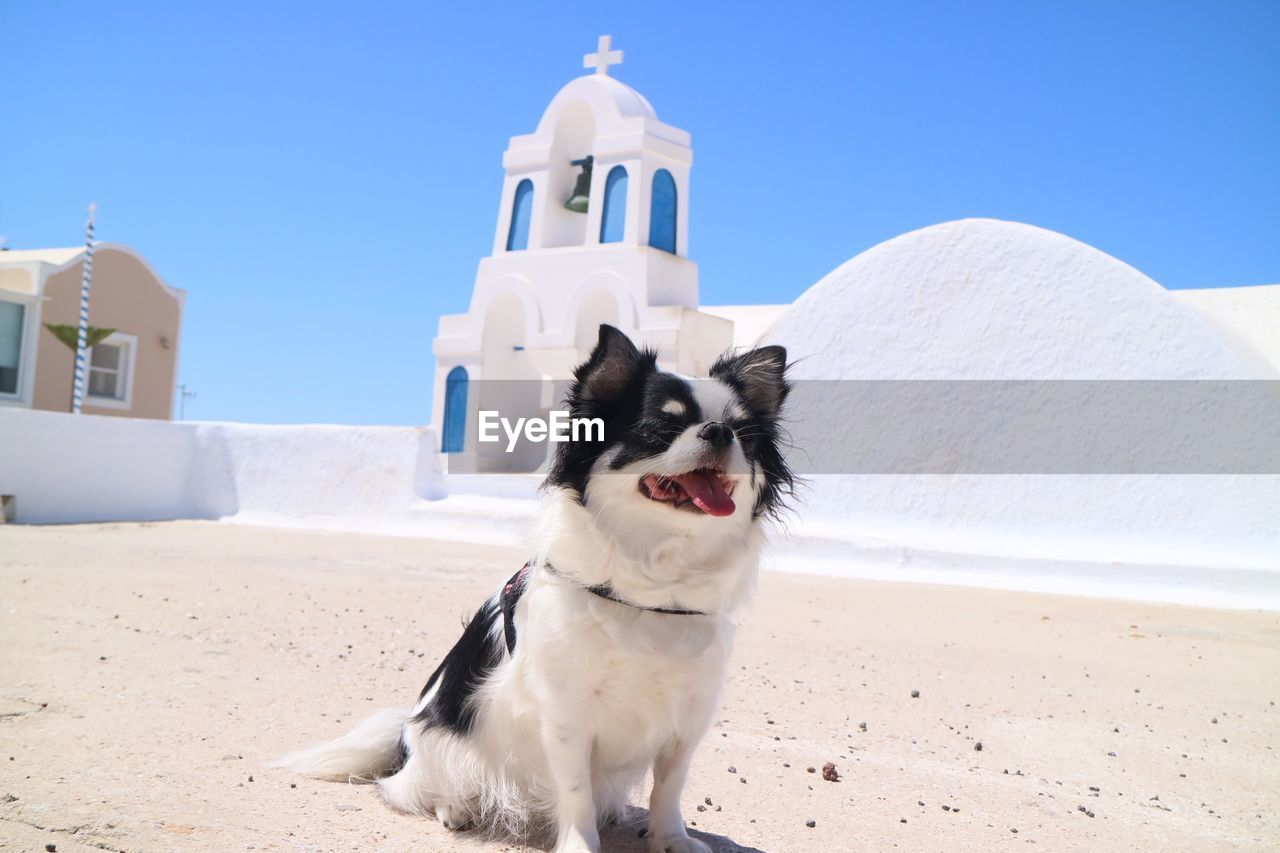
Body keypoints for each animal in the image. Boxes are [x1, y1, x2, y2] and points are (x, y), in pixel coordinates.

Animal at [280, 325, 788, 850]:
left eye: (744, 435)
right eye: (660, 429)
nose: (719, 431)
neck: (653, 585)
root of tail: (406, 731)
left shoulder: (687, 717)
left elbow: (670, 784)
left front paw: (671, 840)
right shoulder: (566, 713)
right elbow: (576, 789)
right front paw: (580, 844)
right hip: (444, 748)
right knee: (414, 789)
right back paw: (455, 808)